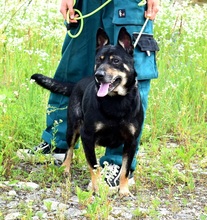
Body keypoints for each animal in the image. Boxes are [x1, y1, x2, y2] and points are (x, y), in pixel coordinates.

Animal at [31, 27, 144, 196]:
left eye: (116, 61)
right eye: (99, 60)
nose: (99, 75)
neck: (116, 101)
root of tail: (78, 83)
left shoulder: (132, 141)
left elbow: (124, 169)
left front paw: (123, 190)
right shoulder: (87, 136)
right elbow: (94, 166)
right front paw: (97, 188)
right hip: (72, 128)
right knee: (69, 149)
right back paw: (65, 168)